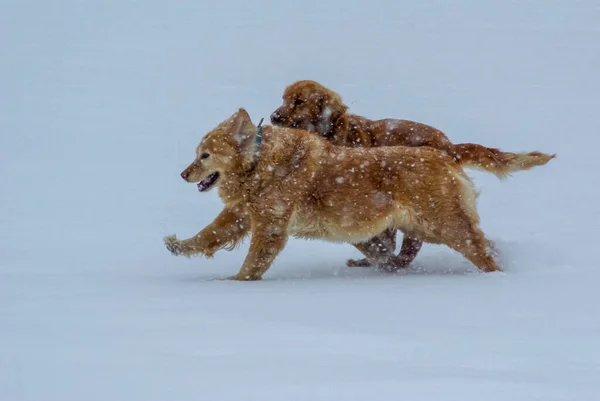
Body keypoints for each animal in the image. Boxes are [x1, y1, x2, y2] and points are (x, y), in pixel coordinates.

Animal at [166, 108, 504, 280]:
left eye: (205, 156)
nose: (183, 174)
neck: (260, 160)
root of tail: (447, 155)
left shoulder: (270, 224)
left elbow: (253, 261)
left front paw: (236, 283)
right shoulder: (244, 213)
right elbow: (210, 234)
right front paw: (181, 246)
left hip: (443, 225)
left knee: (479, 249)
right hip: (423, 226)